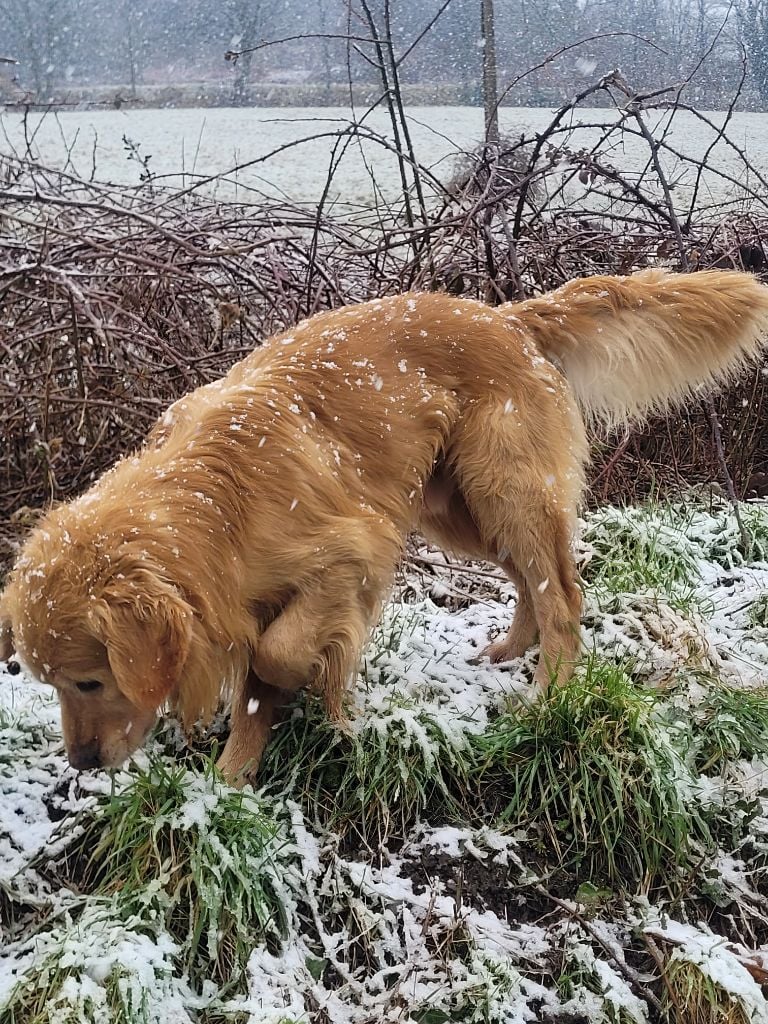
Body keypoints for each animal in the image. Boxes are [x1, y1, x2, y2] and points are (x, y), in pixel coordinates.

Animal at [1, 268, 768, 778]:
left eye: (89, 682)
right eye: (50, 685)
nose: (81, 763)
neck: (216, 503)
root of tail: (509, 318)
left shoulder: (353, 556)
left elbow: (275, 655)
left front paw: (329, 699)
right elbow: (252, 692)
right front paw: (231, 784)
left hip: (503, 491)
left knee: (562, 593)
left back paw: (549, 694)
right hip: (460, 511)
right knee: (529, 580)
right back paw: (506, 652)